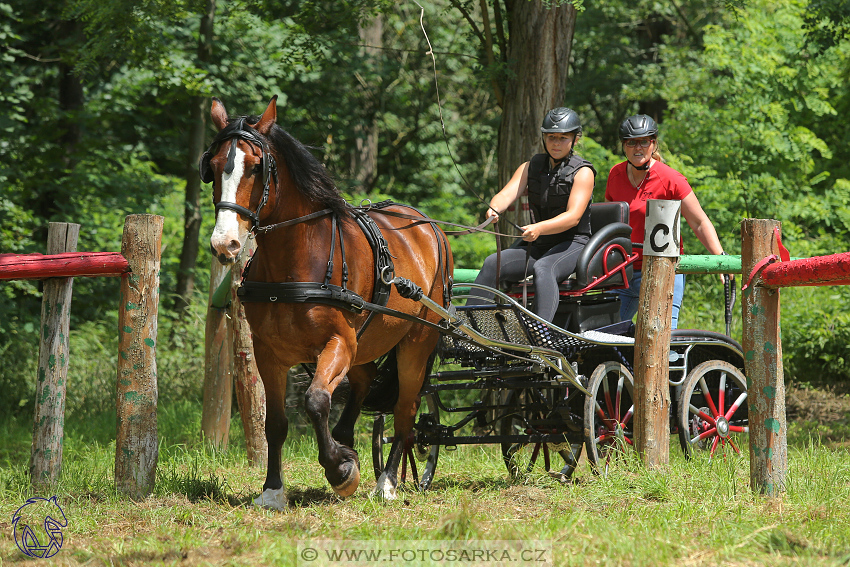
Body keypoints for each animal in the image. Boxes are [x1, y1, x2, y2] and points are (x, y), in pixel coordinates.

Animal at [200, 95, 450, 508]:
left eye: (256, 167)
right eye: (215, 166)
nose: (226, 243)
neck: (293, 265)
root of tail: (429, 227)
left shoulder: (338, 342)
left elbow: (316, 400)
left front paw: (341, 469)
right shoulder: (269, 352)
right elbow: (275, 423)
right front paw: (273, 489)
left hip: (416, 343)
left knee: (405, 411)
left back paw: (387, 481)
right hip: (366, 345)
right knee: (365, 383)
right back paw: (349, 442)